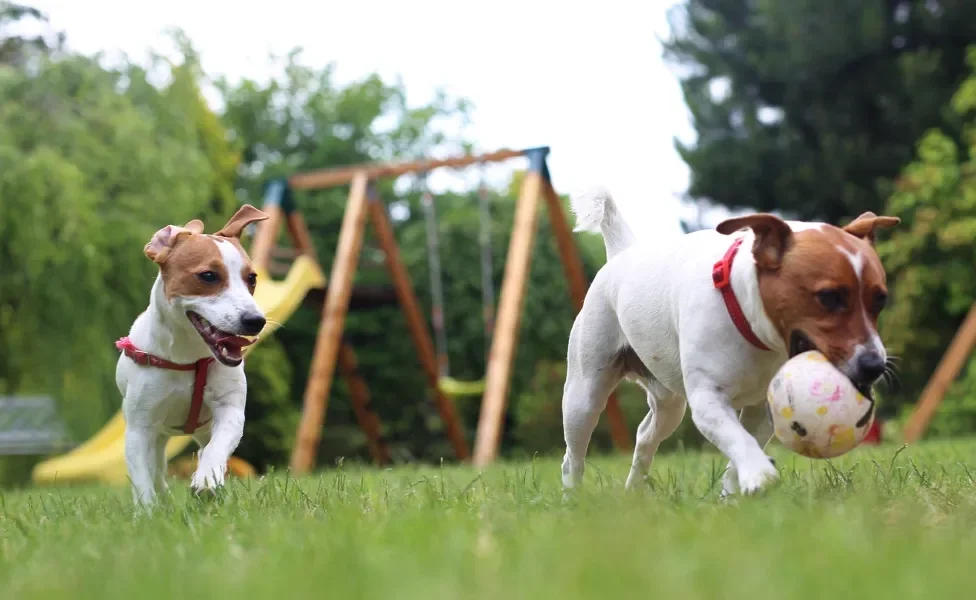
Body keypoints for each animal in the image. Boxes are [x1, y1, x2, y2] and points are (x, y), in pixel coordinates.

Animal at [118, 204, 270, 504]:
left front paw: (207, 479)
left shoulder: (229, 409)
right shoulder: (140, 428)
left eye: (252, 278)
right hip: (156, 434)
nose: (255, 320)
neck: (188, 359)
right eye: (208, 276)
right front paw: (149, 511)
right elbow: (143, 480)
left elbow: (217, 446)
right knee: (157, 468)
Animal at [560, 189, 896, 496]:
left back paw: (634, 491)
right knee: (573, 455)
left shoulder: (764, 409)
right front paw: (759, 475)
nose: (874, 366)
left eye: (880, 300)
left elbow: (744, 446)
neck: (748, 323)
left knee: (645, 436)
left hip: (669, 403)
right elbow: (739, 439)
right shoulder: (708, 399)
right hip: (584, 394)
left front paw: (734, 491)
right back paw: (572, 498)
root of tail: (622, 253)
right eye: (828, 297)